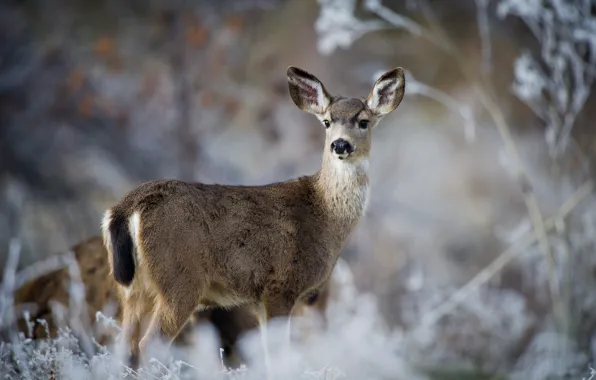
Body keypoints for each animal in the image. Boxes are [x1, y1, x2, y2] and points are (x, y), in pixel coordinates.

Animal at [102, 64, 408, 368]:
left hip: (133, 289)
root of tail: (126, 207)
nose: (341, 145)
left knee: (123, 345)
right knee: (149, 343)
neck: (325, 215)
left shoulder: (259, 301)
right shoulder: (281, 285)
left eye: (364, 121)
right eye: (327, 121)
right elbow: (278, 354)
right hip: (180, 278)